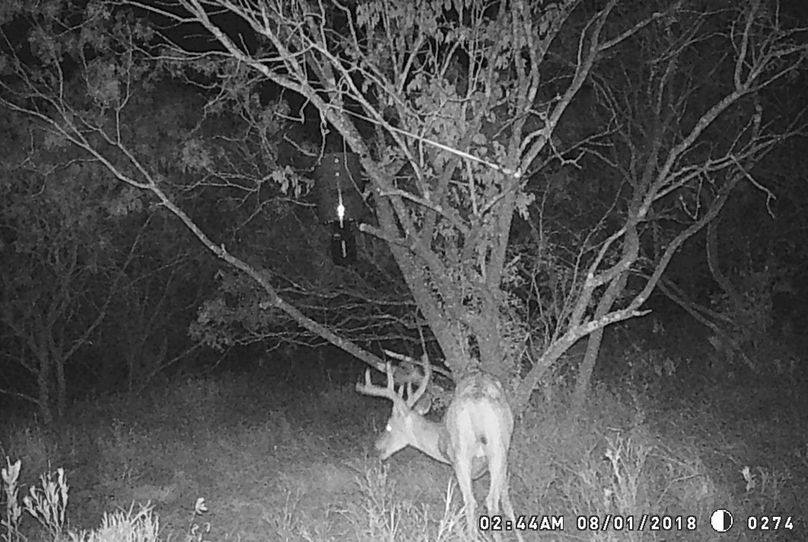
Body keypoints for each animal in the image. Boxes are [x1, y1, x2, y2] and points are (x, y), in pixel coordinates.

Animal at [356, 352, 522, 541]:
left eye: (389, 426)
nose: (376, 446)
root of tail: (477, 401)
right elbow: (506, 501)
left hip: (468, 454)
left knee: (475, 501)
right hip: (492, 450)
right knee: (488, 500)